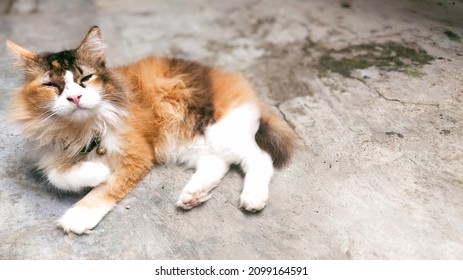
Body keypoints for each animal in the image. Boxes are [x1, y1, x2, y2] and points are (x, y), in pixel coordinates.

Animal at [7, 25, 296, 234]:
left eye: (85, 78)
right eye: (50, 85)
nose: (75, 98)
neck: (78, 130)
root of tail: (231, 79)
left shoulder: (137, 156)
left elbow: (106, 188)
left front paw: (80, 213)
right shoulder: (49, 153)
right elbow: (56, 175)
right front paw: (95, 171)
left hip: (217, 129)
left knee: (259, 157)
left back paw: (253, 198)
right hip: (189, 142)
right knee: (217, 163)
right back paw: (193, 195)